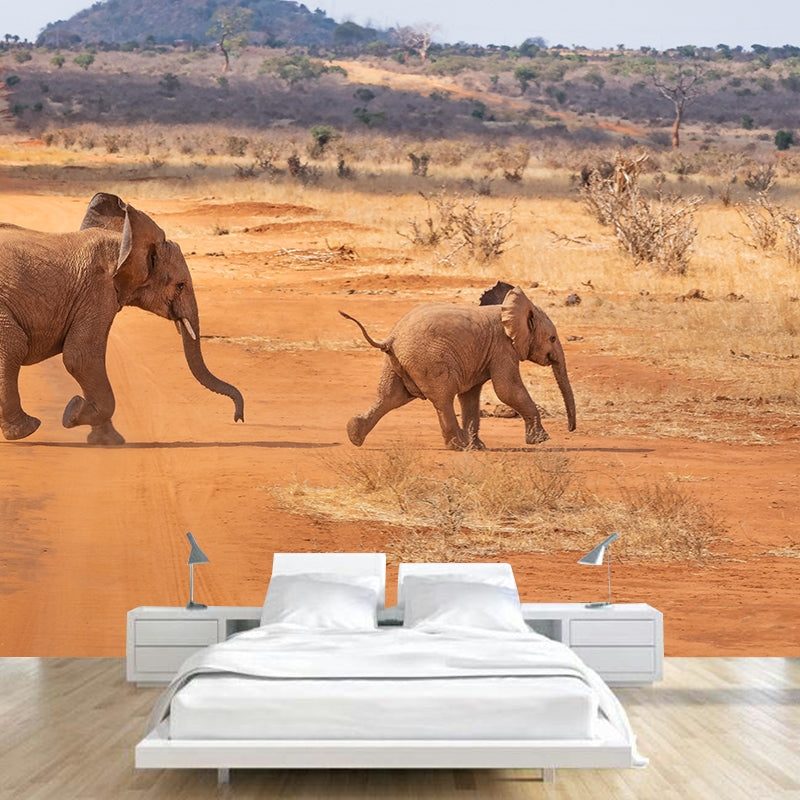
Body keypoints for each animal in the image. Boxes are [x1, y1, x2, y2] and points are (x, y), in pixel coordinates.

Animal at [0, 192, 244, 445]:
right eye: (180, 285)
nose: (238, 418)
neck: (124, 242)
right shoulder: (97, 291)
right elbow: (81, 357)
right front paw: (73, 413)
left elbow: (85, 360)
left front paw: (106, 440)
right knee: (13, 346)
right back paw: (26, 429)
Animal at [340, 284, 576, 451]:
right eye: (553, 338)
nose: (571, 429)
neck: (510, 309)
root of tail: (391, 338)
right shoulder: (503, 347)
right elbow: (507, 389)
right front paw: (541, 440)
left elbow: (471, 395)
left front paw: (477, 447)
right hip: (429, 360)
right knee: (442, 398)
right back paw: (458, 445)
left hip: (396, 362)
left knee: (390, 397)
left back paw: (354, 434)